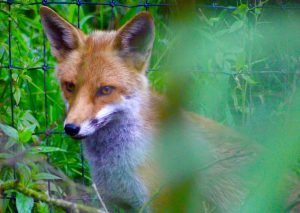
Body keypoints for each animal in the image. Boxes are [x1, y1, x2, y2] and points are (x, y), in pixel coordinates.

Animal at [39, 5, 258, 212]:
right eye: (70, 86)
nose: (71, 128)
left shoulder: (161, 203)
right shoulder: (113, 202)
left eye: (105, 90)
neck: (116, 167)